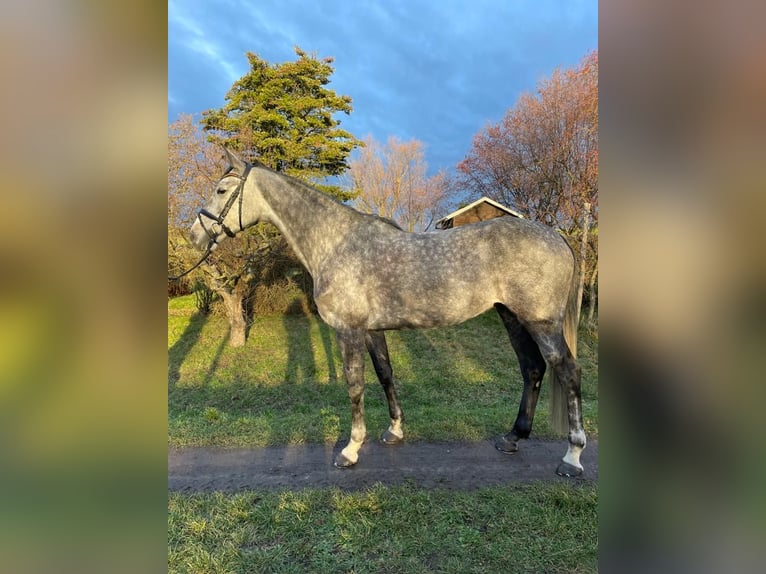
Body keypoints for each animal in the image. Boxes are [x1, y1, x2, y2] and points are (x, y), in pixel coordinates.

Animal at [189, 148, 584, 476]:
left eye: (221, 191)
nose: (194, 234)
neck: (337, 243)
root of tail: (557, 237)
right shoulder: (371, 331)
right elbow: (385, 375)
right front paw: (394, 430)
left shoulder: (348, 330)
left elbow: (354, 386)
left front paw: (350, 450)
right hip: (511, 316)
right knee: (532, 369)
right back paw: (512, 437)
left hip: (541, 322)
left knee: (567, 371)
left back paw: (572, 457)